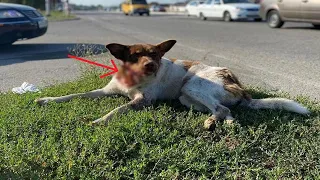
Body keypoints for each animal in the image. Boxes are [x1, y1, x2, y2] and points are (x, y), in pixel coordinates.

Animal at [35, 39, 310, 129]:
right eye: (135, 56)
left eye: (155, 54)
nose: (151, 66)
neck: (133, 81)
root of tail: (241, 87)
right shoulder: (105, 91)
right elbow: (76, 95)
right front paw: (47, 100)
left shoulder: (143, 101)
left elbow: (118, 109)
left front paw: (100, 120)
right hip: (186, 98)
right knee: (224, 111)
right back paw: (216, 122)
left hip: (191, 86)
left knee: (224, 109)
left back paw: (217, 122)